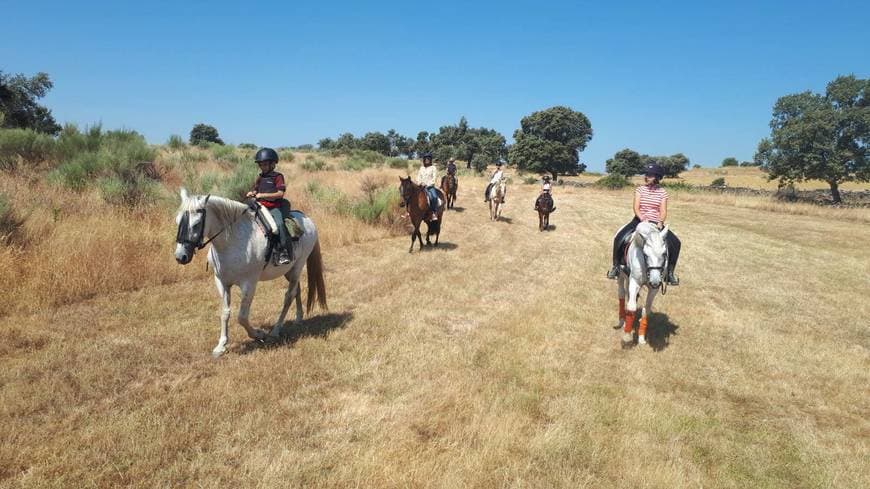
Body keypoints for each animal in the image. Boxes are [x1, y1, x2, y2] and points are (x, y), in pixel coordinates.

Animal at [174, 188, 328, 354]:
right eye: (177, 221)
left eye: (196, 224)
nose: (180, 256)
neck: (232, 242)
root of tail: (309, 221)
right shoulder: (221, 282)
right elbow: (225, 312)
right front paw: (221, 345)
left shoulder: (249, 284)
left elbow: (242, 317)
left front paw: (258, 334)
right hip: (289, 271)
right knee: (296, 291)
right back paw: (298, 318)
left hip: (297, 267)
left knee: (289, 296)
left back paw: (275, 331)